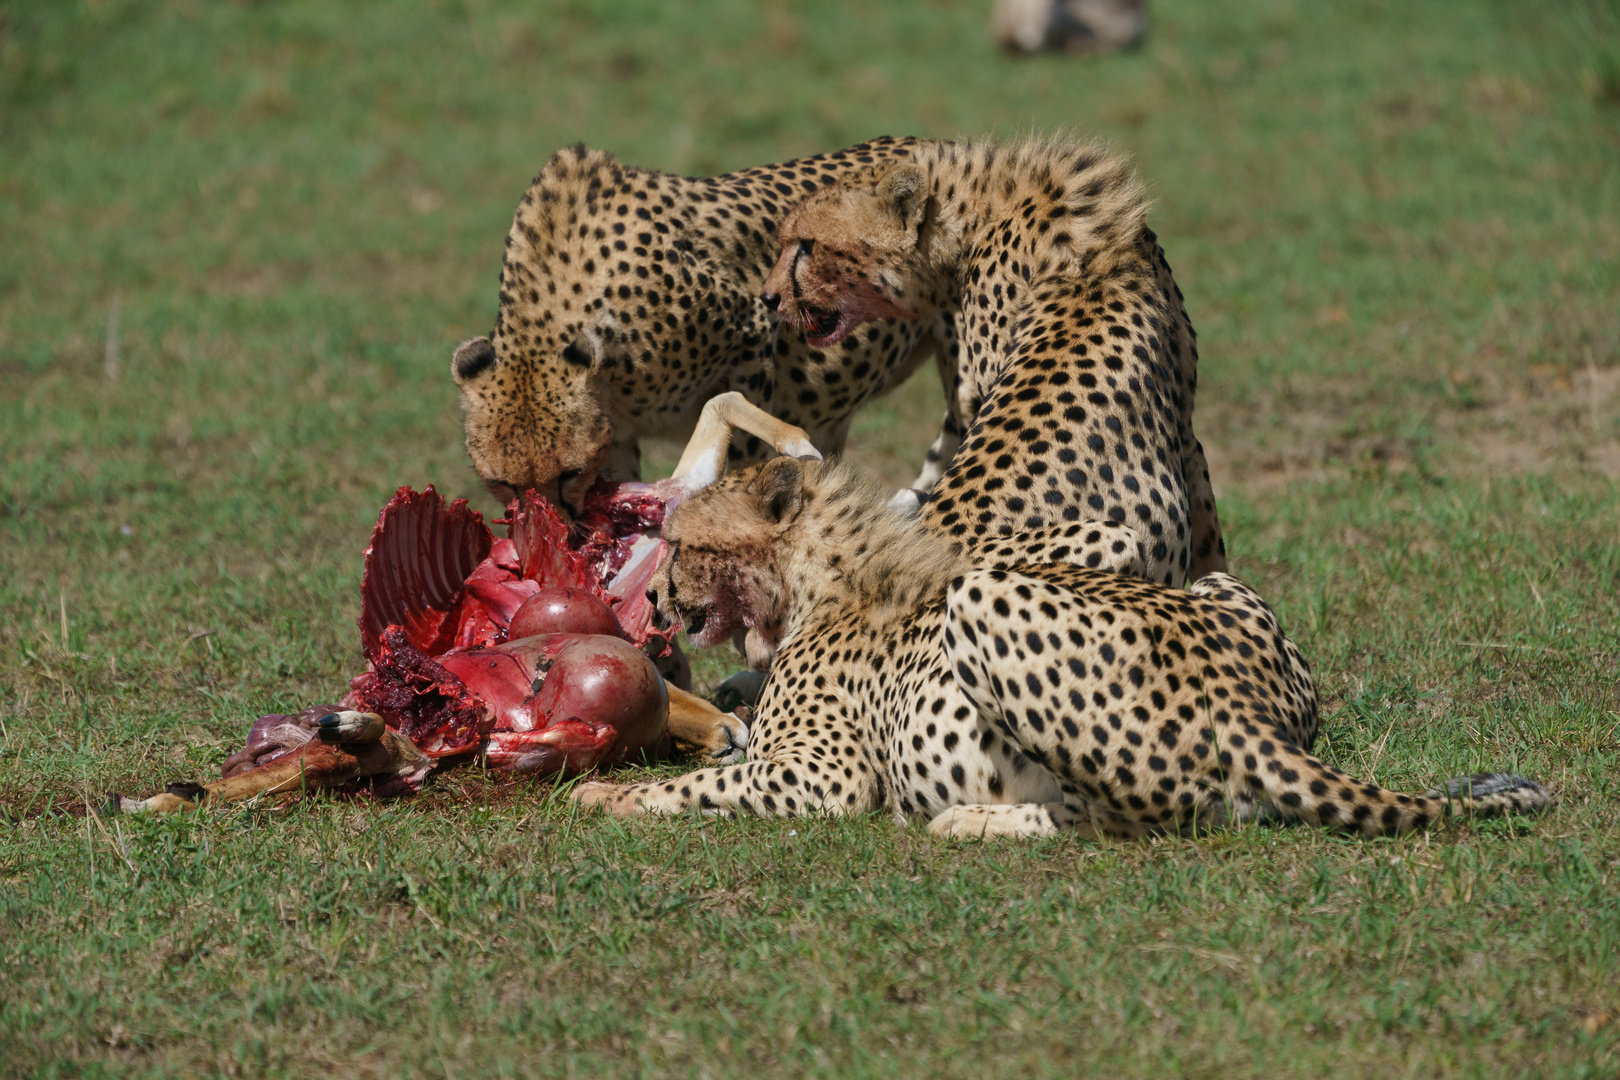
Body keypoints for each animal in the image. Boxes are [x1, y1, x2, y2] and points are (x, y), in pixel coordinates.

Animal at [576, 459, 1548, 841]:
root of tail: (1249, 711)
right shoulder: (1101, 543)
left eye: (681, 542)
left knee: (1134, 817)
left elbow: (699, 785)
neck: (827, 577)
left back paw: (970, 819)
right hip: (1218, 585)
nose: (655, 601)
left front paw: (605, 796)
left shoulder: (824, 776)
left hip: (987, 611)